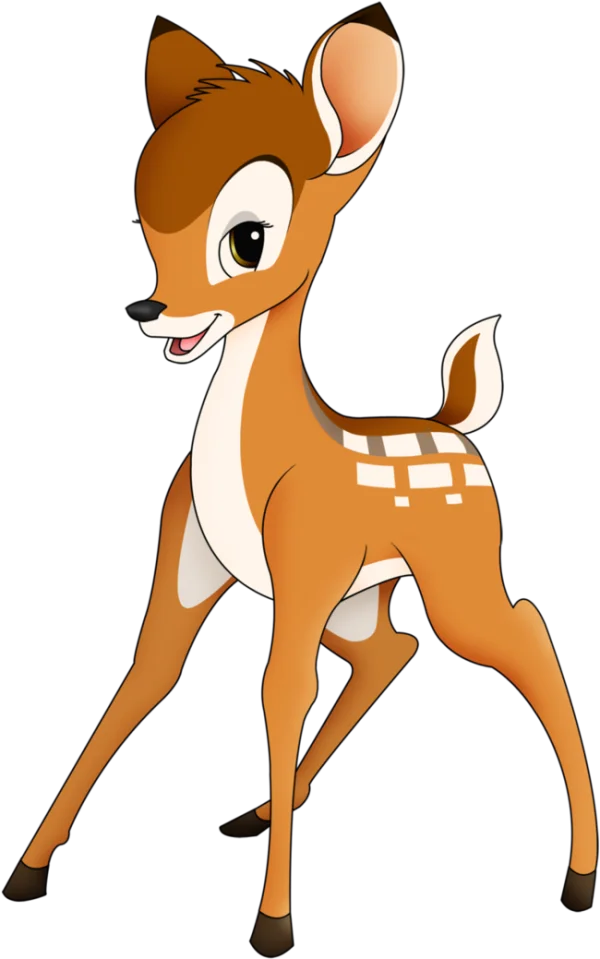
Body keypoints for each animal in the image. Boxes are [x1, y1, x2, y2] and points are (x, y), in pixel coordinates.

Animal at [2, 5, 598, 956]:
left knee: (526, 630)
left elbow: (279, 693)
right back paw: (255, 810)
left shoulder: (305, 566)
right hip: (364, 598)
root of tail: (461, 427)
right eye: (145, 225)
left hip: (452, 575)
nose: (146, 310)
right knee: (393, 650)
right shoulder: (194, 569)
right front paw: (27, 869)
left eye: (249, 237)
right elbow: (142, 682)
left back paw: (579, 877)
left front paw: (272, 920)